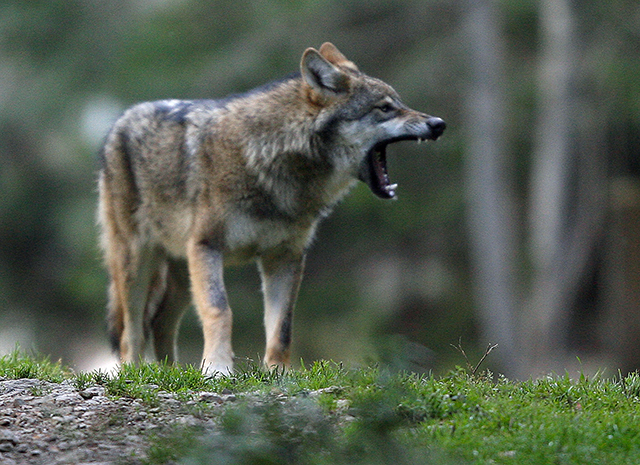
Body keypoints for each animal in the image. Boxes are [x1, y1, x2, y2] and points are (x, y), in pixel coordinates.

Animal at [99, 40, 444, 374]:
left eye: (399, 103)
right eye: (384, 108)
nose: (439, 123)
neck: (271, 159)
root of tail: (121, 119)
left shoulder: (285, 257)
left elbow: (282, 326)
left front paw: (279, 373)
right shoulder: (207, 246)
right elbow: (220, 310)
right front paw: (218, 368)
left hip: (182, 276)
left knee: (159, 323)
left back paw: (171, 372)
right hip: (137, 265)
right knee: (132, 331)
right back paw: (136, 372)